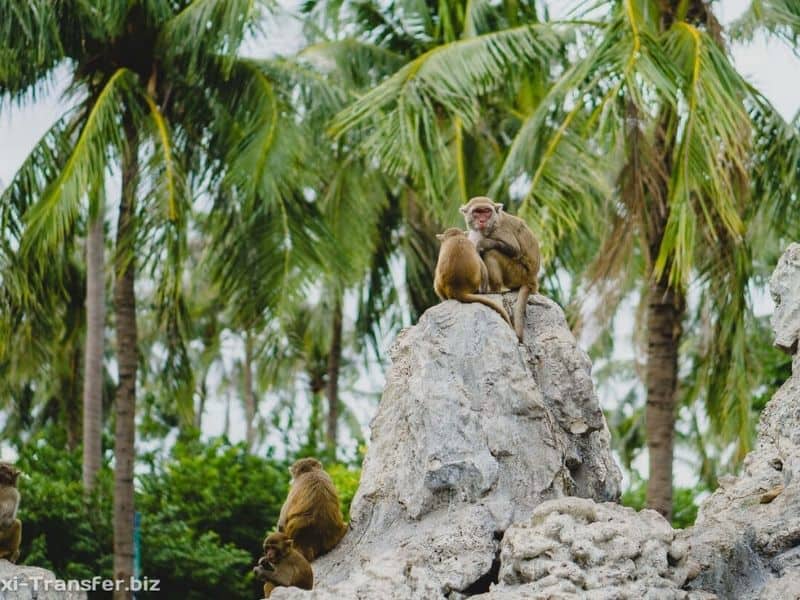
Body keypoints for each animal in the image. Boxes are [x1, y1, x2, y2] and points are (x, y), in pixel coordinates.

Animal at [461, 196, 541, 341]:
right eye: (477, 212)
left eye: (486, 211)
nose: (482, 221)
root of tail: (532, 280)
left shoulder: (500, 230)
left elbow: (514, 250)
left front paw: (483, 243)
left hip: (518, 273)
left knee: (491, 252)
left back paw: (495, 290)